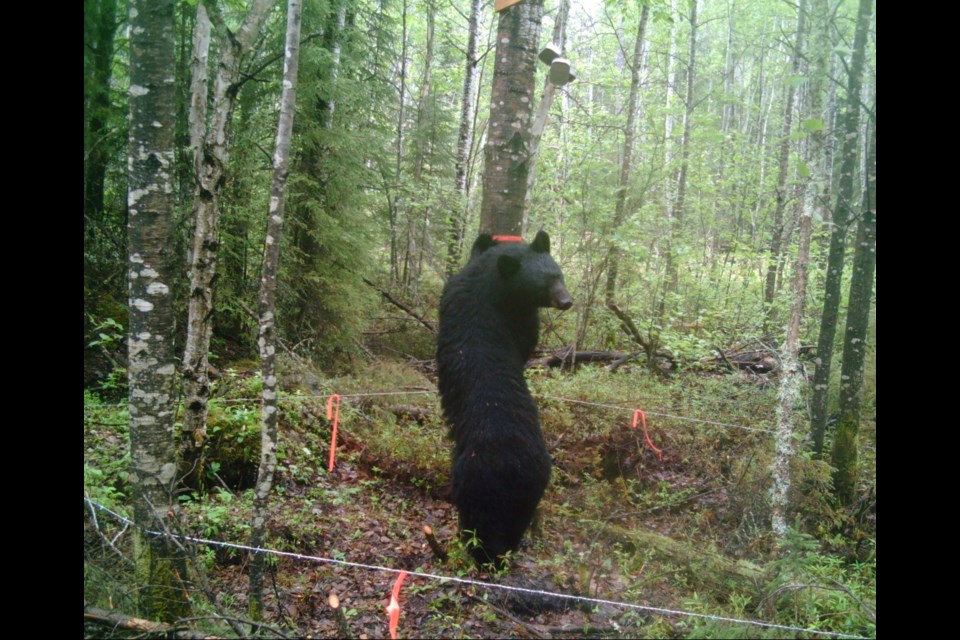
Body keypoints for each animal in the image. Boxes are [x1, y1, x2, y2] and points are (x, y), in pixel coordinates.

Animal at [440, 229, 572, 564]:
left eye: (557, 274)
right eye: (544, 282)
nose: (567, 301)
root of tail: (511, 467)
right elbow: (527, 341)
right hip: (496, 487)